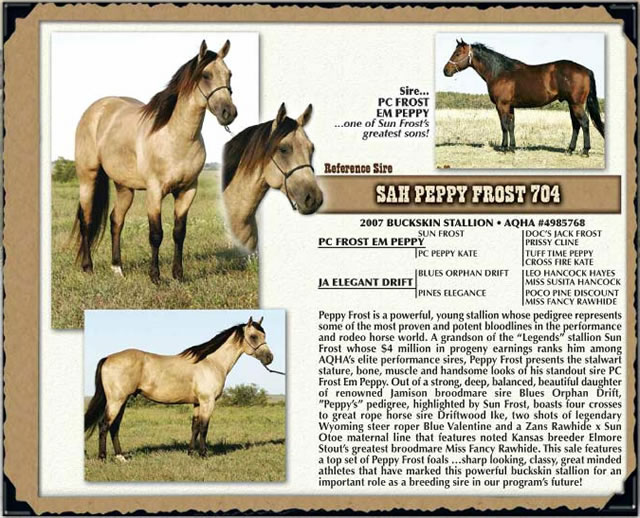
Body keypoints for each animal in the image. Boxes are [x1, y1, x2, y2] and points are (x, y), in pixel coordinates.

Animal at [73, 40, 237, 284]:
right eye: (206, 75)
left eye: (229, 74)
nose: (229, 113)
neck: (174, 136)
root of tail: (96, 110)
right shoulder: (154, 191)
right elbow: (156, 234)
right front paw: (156, 277)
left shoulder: (188, 190)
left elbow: (179, 233)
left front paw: (178, 275)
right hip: (88, 178)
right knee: (86, 220)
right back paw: (87, 267)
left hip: (125, 187)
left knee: (116, 220)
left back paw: (117, 268)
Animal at [84, 317, 273, 459]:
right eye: (254, 336)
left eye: (264, 335)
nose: (270, 358)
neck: (211, 362)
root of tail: (108, 358)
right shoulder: (208, 402)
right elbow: (204, 427)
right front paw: (203, 454)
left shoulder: (197, 403)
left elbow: (195, 427)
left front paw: (191, 453)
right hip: (116, 401)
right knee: (104, 425)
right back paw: (103, 457)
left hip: (122, 401)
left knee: (114, 427)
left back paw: (120, 457)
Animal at [443, 39, 604, 156]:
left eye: (457, 53)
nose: (446, 71)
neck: (500, 72)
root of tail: (586, 70)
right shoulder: (510, 107)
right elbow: (511, 125)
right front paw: (512, 148)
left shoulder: (501, 105)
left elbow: (504, 126)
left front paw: (504, 148)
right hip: (572, 104)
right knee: (576, 125)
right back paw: (569, 150)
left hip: (576, 104)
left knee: (584, 123)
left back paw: (585, 151)